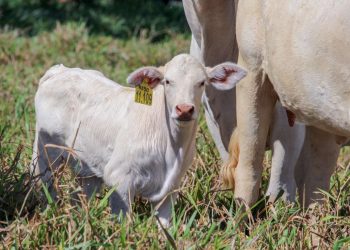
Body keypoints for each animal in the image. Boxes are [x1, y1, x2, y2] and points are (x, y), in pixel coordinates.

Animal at [32, 53, 246, 226]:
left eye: (202, 82)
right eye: (168, 81)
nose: (184, 109)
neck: (170, 147)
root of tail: (60, 70)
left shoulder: (170, 188)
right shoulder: (119, 179)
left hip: (87, 169)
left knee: (78, 196)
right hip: (44, 154)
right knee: (45, 185)